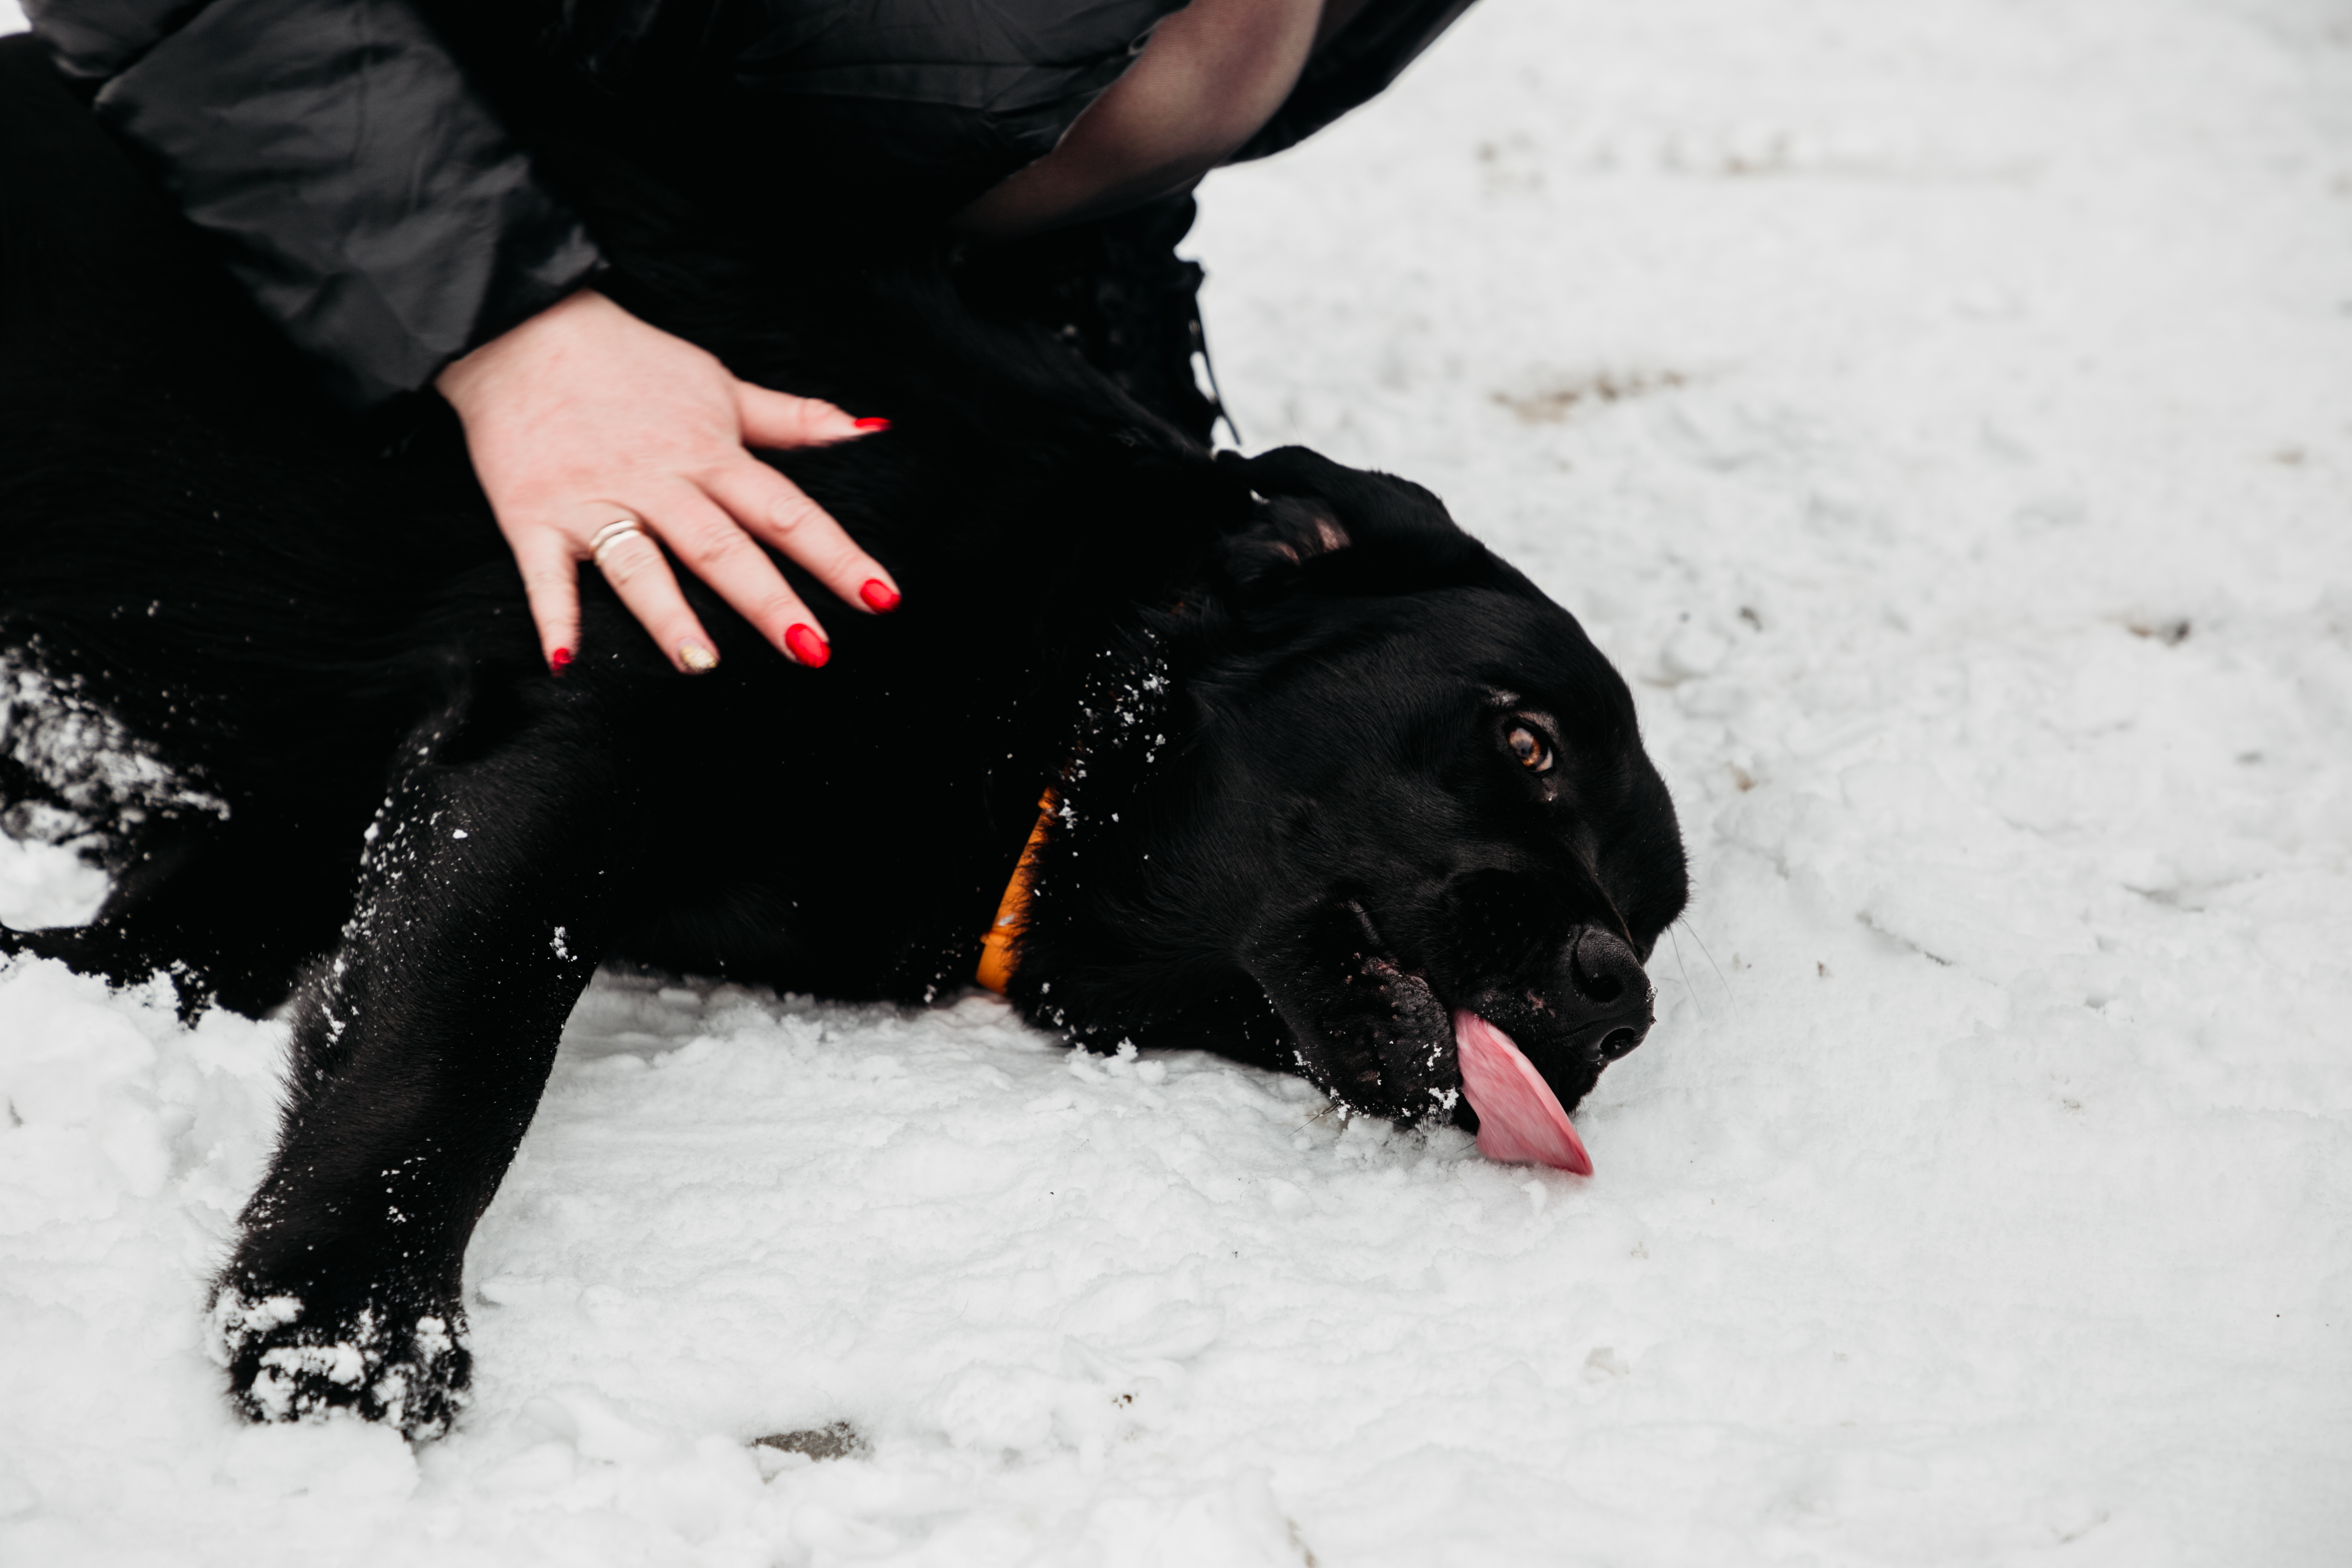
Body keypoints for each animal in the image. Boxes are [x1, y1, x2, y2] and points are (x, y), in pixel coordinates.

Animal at [4, 40, 1693, 1439]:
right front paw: (347, 1326)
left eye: (1658, 906)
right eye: (1525, 741)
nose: (1621, 997)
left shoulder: (337, 808)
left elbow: (206, 945)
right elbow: (454, 1049)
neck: (1043, 662)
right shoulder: (568, 732)